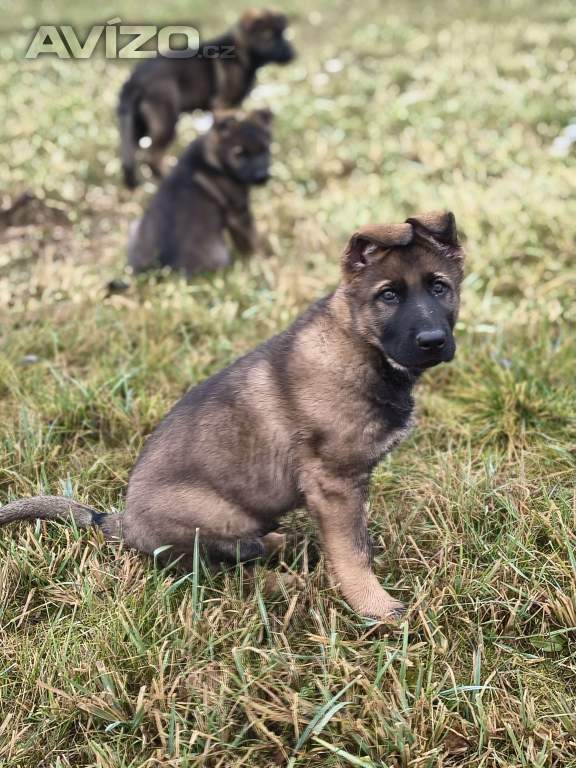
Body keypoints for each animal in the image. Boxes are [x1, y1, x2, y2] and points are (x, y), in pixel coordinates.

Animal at [0, 212, 464, 620]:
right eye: (388, 295)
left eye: (440, 288)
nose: (433, 341)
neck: (360, 343)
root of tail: (119, 522)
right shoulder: (335, 484)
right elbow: (353, 551)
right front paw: (375, 606)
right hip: (217, 515)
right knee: (217, 572)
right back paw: (283, 582)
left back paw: (277, 544)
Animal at [118, 9, 294, 188]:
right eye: (268, 36)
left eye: (283, 34)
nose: (291, 55)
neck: (242, 53)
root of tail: (134, 80)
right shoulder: (224, 104)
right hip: (166, 121)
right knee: (152, 157)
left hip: (137, 126)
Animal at [127, 108, 273, 277]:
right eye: (239, 154)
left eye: (265, 150)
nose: (262, 177)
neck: (214, 156)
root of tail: (162, 268)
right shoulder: (239, 213)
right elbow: (252, 241)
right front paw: (260, 263)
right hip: (219, 254)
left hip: (134, 228)